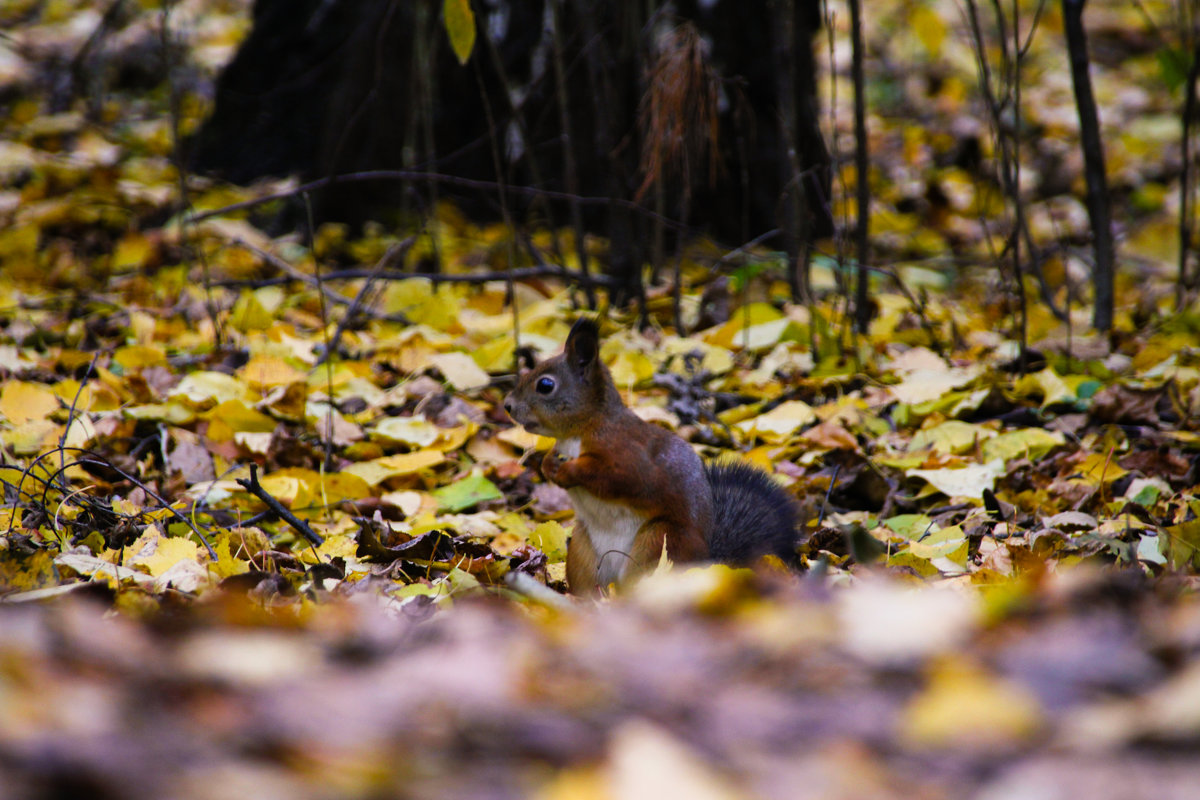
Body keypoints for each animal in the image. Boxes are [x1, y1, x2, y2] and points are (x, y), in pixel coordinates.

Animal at [504, 319, 796, 594]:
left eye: (545, 385)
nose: (507, 405)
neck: (581, 430)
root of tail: (704, 564)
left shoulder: (627, 455)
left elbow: (614, 478)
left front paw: (566, 472)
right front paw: (547, 464)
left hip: (658, 543)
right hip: (582, 552)